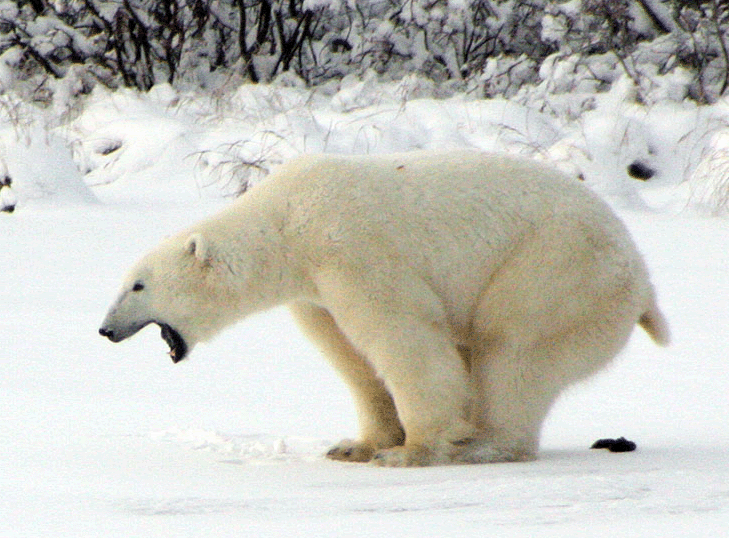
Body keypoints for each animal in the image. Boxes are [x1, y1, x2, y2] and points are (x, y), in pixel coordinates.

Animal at [99, 150, 669, 467]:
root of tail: (643, 281)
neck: (286, 222)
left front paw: (412, 450)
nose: (105, 330)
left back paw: (482, 444)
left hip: (558, 269)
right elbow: (351, 356)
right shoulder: (314, 292)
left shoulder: (352, 248)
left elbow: (403, 336)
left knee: (513, 350)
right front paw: (355, 445)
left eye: (138, 285)